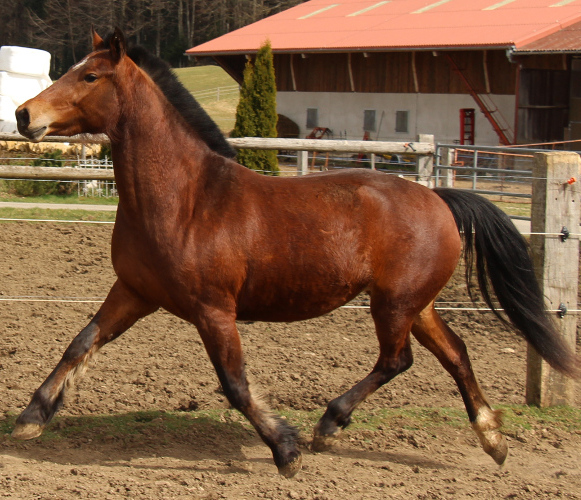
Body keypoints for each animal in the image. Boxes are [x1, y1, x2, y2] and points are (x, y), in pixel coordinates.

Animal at [11, 29, 576, 478]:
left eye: (90, 76)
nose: (22, 114)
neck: (185, 199)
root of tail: (438, 197)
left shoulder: (213, 311)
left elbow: (235, 385)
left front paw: (286, 450)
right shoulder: (133, 292)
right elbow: (80, 344)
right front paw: (30, 418)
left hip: (394, 304)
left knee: (398, 359)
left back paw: (329, 424)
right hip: (417, 304)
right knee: (455, 353)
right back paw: (492, 439)